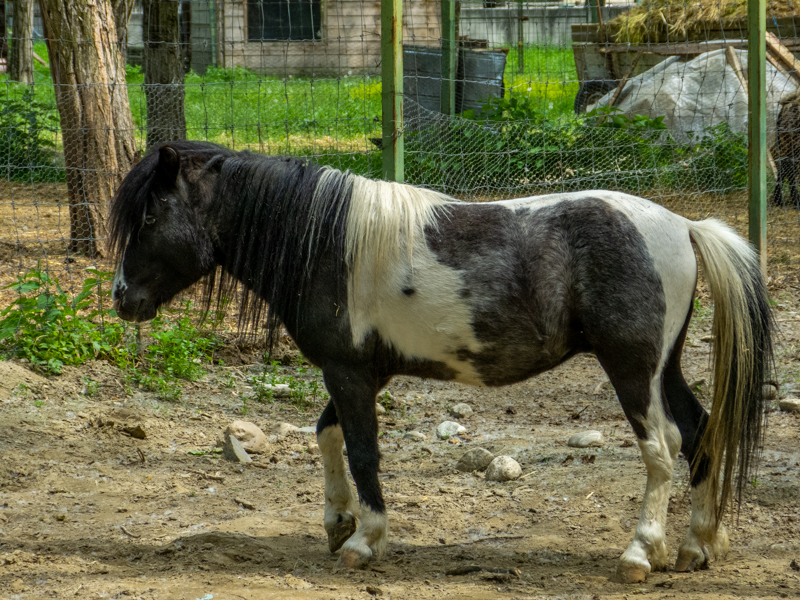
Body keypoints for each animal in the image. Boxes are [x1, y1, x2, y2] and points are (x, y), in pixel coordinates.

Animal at [109, 141, 773, 584]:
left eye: (150, 214)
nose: (120, 298)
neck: (329, 244)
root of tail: (683, 225)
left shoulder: (348, 373)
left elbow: (361, 450)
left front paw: (365, 540)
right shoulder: (361, 372)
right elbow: (325, 434)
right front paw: (337, 520)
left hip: (632, 368)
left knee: (662, 447)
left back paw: (641, 553)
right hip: (665, 367)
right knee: (700, 434)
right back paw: (697, 546)